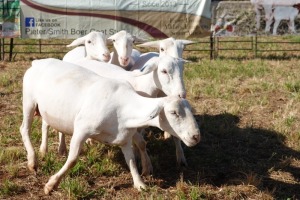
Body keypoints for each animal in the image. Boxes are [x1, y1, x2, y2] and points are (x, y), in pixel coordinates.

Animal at [19, 58, 200, 194]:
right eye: (173, 113)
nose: (196, 136)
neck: (124, 106)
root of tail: (38, 61)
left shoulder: (125, 138)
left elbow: (132, 161)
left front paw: (140, 183)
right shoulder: (81, 130)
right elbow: (72, 160)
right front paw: (51, 185)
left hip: (48, 109)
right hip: (29, 101)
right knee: (24, 129)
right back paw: (33, 160)